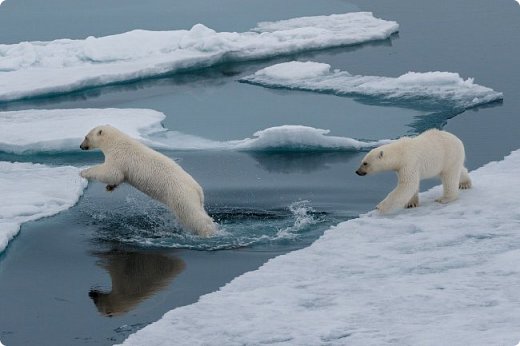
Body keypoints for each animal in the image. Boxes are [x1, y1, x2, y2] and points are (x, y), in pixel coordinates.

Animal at [78, 125, 215, 237]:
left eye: (86, 137)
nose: (80, 146)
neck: (116, 142)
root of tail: (198, 189)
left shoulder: (119, 157)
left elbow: (112, 173)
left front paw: (83, 172)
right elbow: (118, 177)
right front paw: (109, 187)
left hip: (180, 195)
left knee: (192, 215)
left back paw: (208, 232)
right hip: (193, 199)